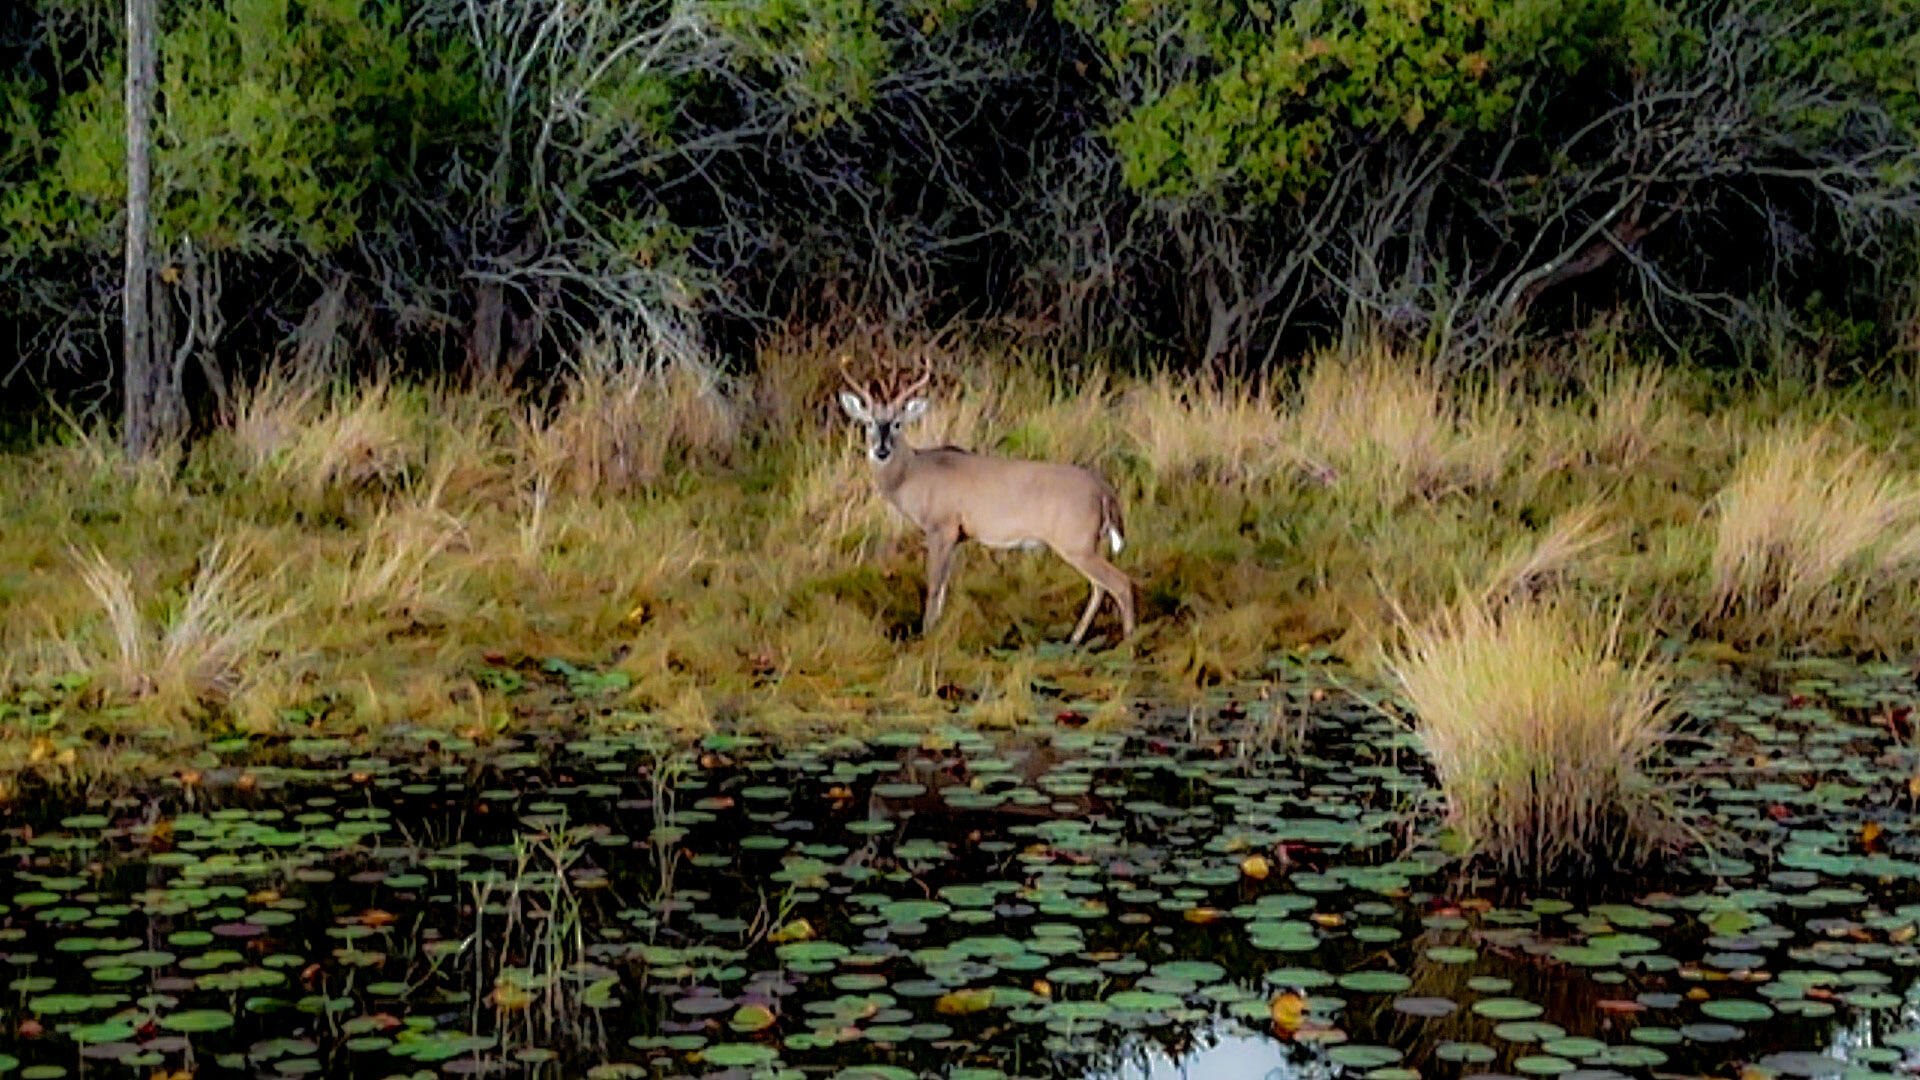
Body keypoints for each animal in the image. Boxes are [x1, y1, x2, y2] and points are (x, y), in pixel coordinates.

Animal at [833, 353, 1128, 641]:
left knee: (1121, 584)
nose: (881, 450)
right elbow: (943, 586)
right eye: (869, 423)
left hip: (1076, 540)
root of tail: (1104, 490)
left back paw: (1128, 640)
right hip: (1089, 543)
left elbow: (934, 584)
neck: (914, 474)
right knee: (1101, 587)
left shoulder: (941, 525)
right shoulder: (957, 535)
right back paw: (1076, 639)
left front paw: (926, 635)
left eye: (897, 424)